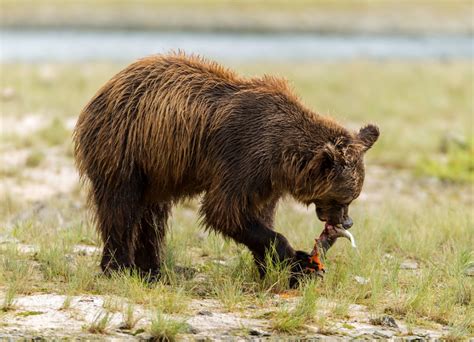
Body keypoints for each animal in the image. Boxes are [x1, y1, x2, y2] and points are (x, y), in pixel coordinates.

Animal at [73, 52, 378, 284]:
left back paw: (153, 269)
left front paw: (275, 266)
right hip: (125, 148)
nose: (347, 222)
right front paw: (296, 261)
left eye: (353, 196)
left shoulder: (266, 181)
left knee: (152, 216)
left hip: (157, 168)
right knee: (121, 208)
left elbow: (259, 214)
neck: (283, 156)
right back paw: (119, 267)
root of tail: (105, 88)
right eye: (344, 198)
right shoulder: (243, 157)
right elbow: (225, 210)